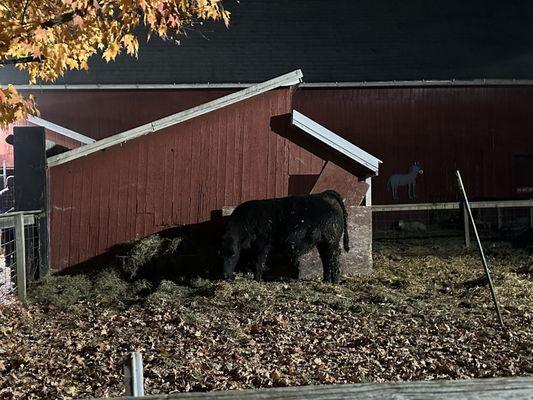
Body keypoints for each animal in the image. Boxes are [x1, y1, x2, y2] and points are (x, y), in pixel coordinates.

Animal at [220, 190, 350, 282]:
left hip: (331, 241)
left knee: (334, 259)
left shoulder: (263, 244)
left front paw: (257, 280)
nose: (225, 275)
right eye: (220, 254)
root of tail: (324, 194)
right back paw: (326, 280)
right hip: (322, 242)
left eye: (233, 254)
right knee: (326, 259)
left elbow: (258, 263)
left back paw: (335, 282)